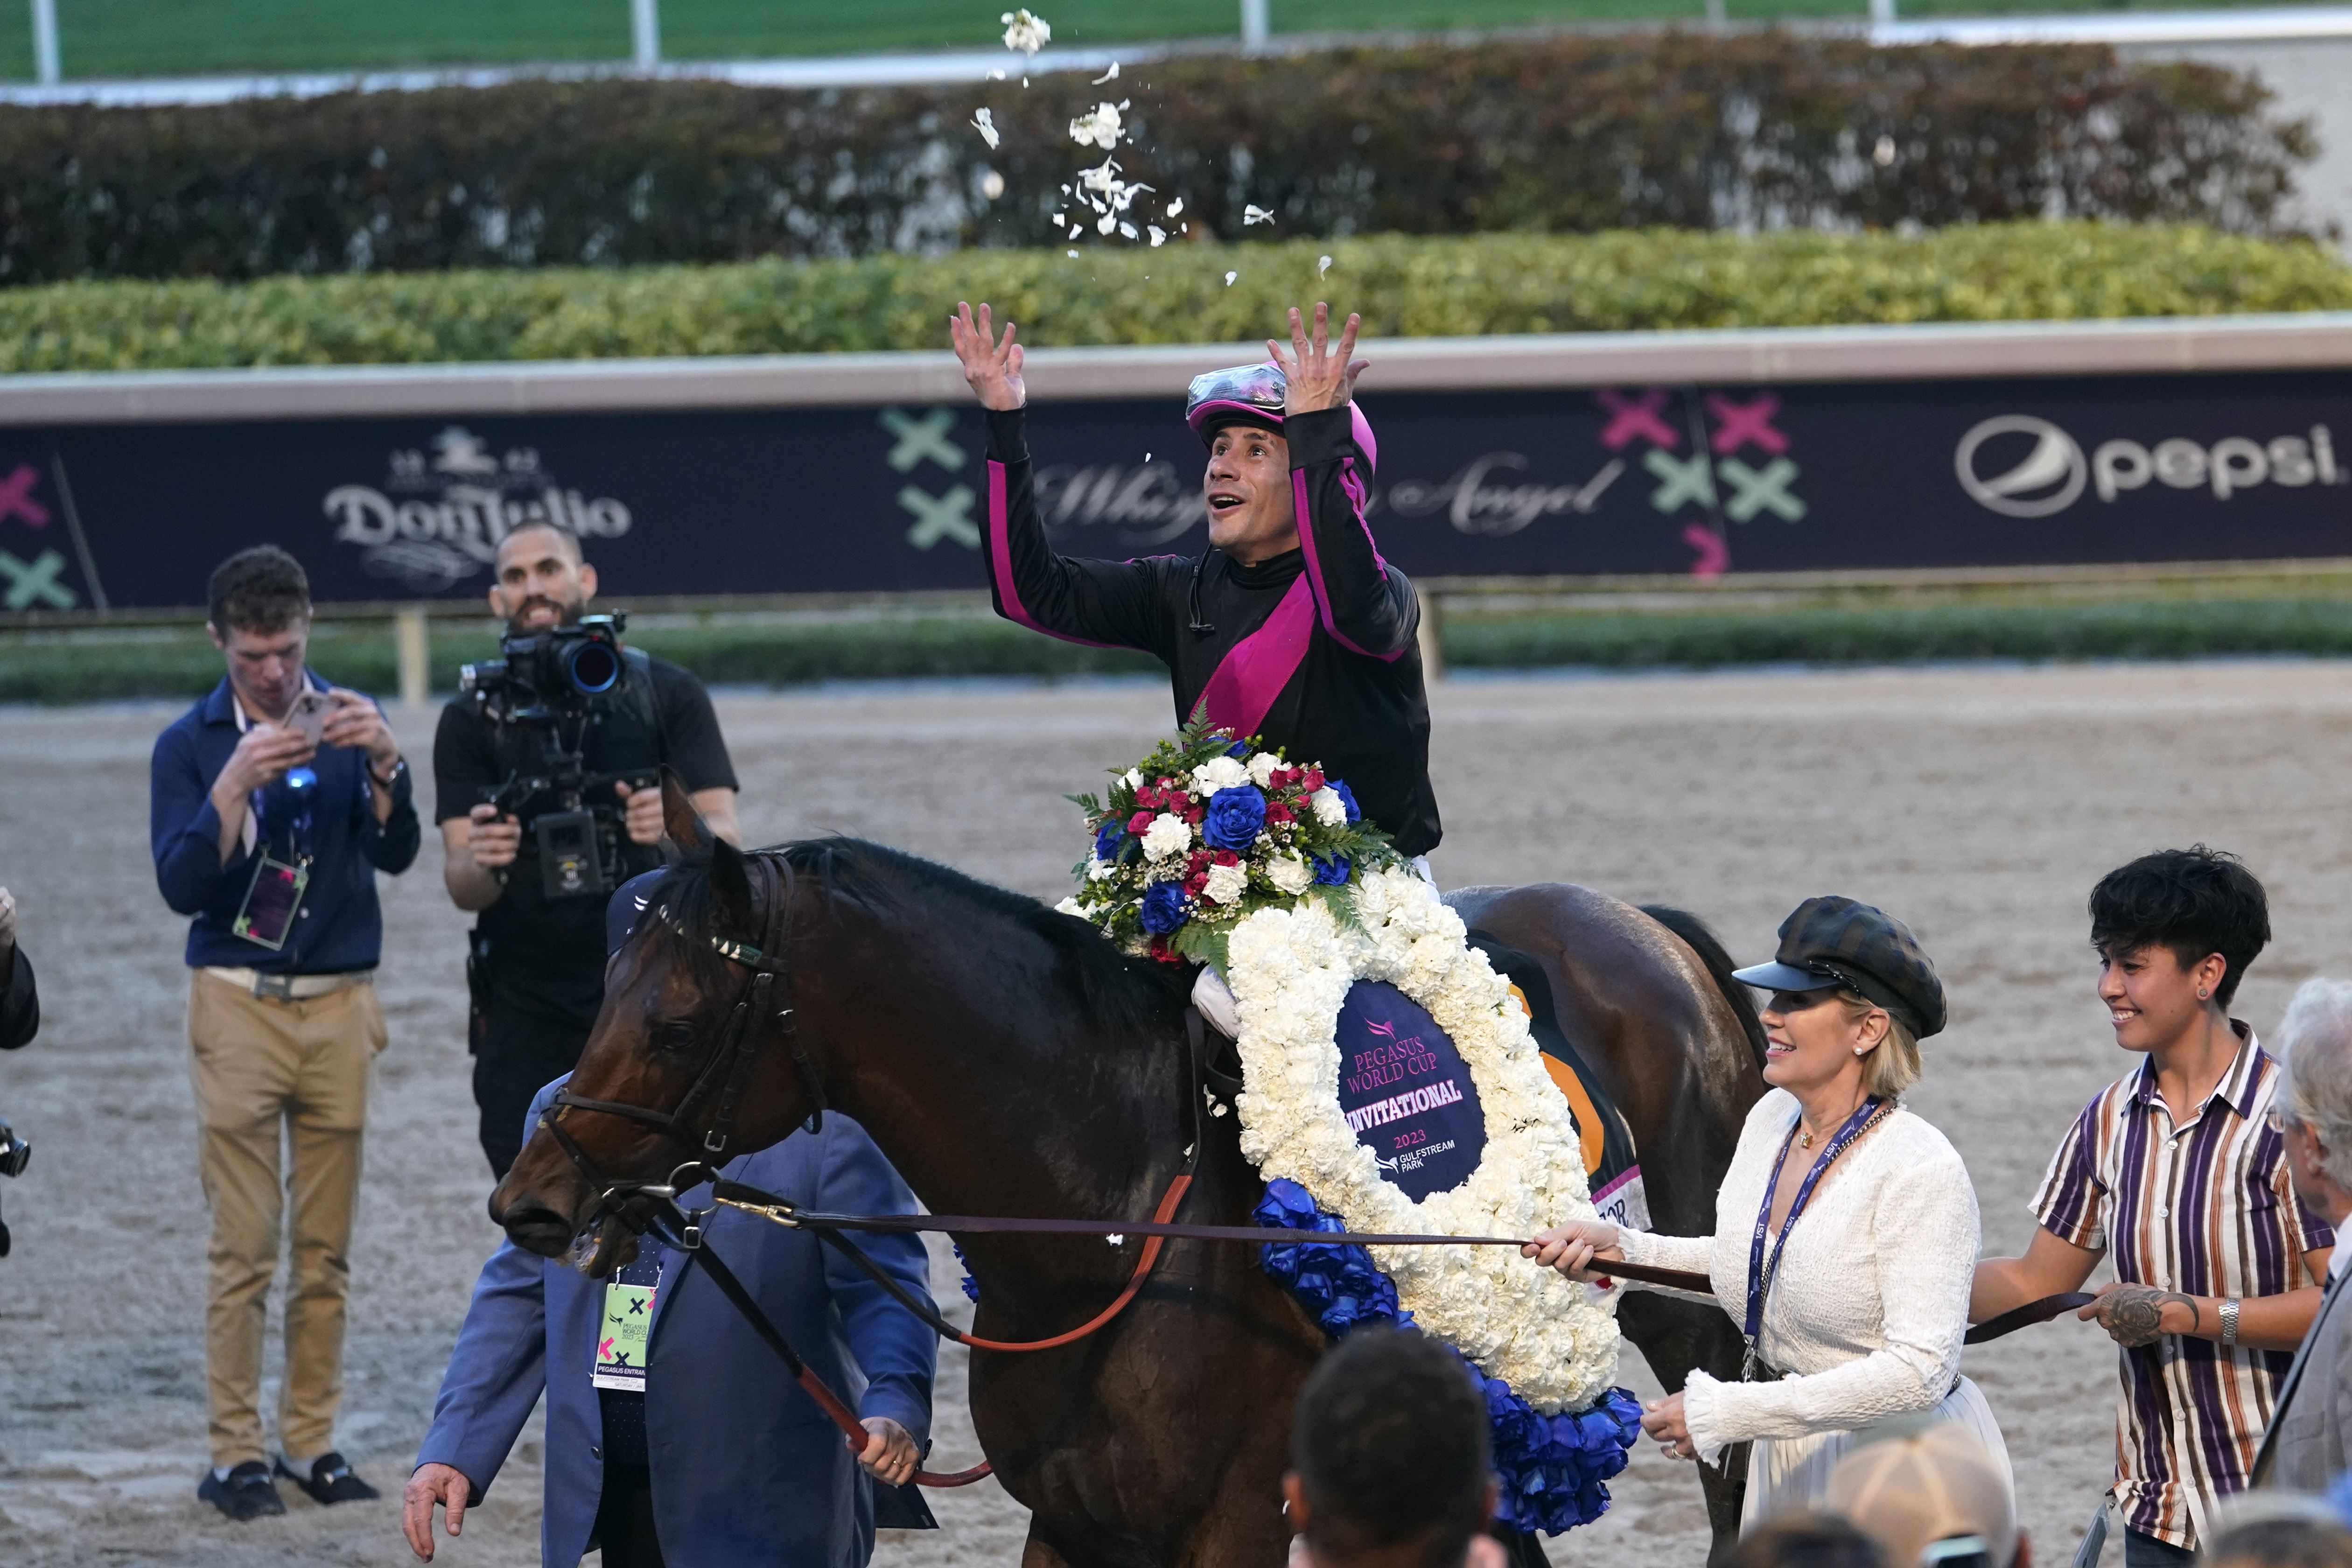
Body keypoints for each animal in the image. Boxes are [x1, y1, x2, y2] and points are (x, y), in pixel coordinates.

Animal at [491, 785, 1769, 1568]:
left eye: (674, 1024)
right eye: (603, 995)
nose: (532, 1200)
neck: (1107, 1223)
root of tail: (1646, 929)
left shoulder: (1242, 1523)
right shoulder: (1072, 1526)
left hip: (1690, 1305)